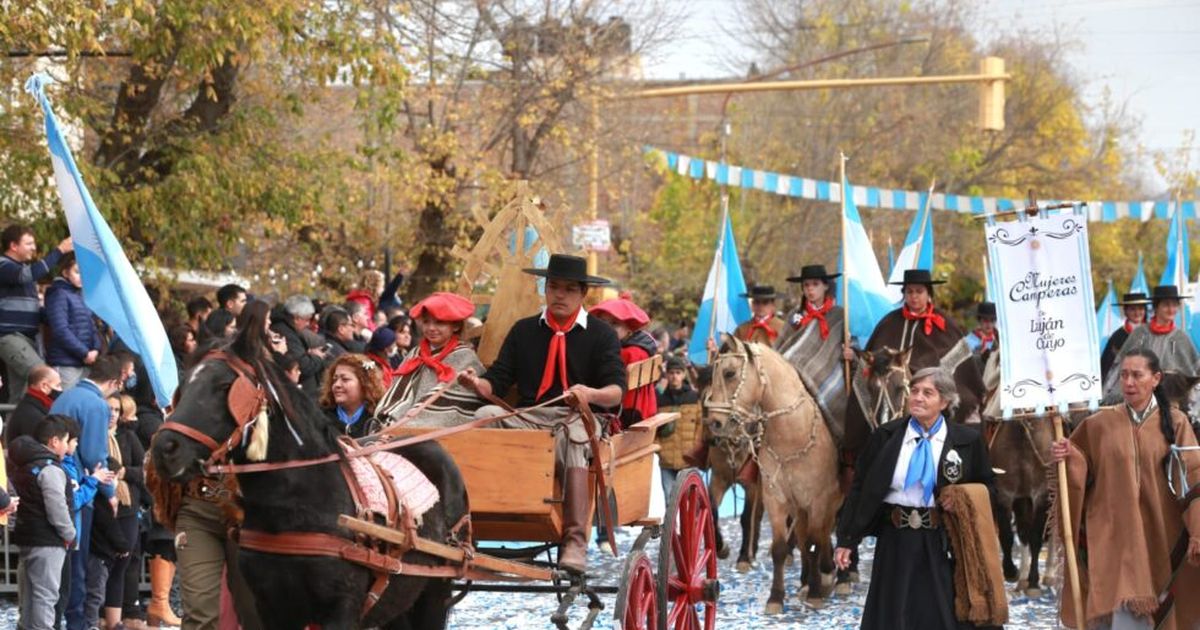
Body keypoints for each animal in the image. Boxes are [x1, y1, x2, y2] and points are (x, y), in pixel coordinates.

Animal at [151, 321, 468, 624]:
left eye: (225, 384)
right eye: (183, 385)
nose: (165, 448)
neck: (297, 505)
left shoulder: (341, 609)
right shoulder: (270, 607)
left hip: (433, 591)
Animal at [705, 336, 840, 612]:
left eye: (729, 373)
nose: (714, 423)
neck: (793, 436)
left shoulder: (818, 499)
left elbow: (815, 541)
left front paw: (816, 593)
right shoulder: (774, 497)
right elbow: (780, 547)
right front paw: (776, 597)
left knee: (821, 534)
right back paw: (808, 579)